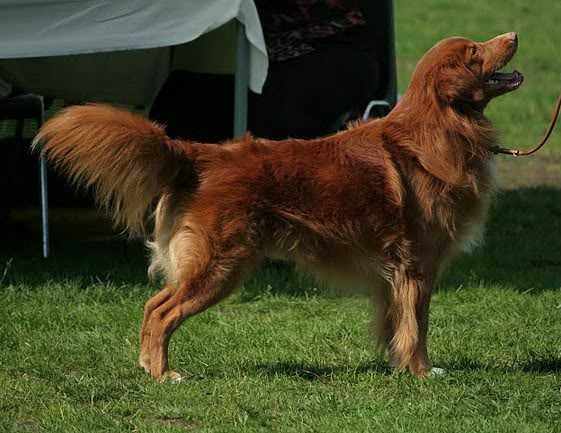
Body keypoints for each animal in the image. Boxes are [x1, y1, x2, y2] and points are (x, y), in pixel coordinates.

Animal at [37, 32, 524, 380]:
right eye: (476, 51)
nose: (514, 34)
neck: (442, 128)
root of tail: (195, 153)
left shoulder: (393, 274)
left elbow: (395, 325)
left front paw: (398, 367)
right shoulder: (418, 265)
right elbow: (417, 326)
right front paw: (422, 372)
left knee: (151, 305)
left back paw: (148, 366)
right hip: (220, 266)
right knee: (160, 311)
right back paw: (163, 374)